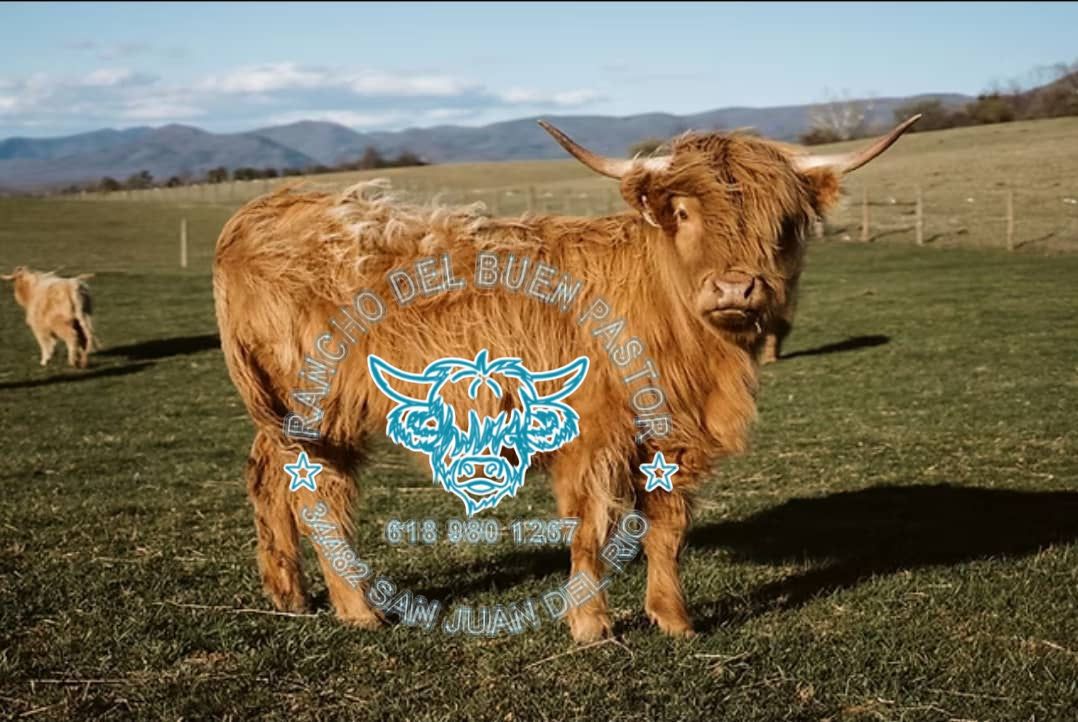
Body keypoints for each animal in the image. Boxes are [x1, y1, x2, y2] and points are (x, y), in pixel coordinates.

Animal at [212, 115, 920, 641]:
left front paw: (675, 620)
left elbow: (668, 527)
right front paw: (591, 627)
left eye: (784, 222)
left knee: (268, 478)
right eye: (682, 212)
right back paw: (358, 610)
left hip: (284, 410)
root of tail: (259, 211)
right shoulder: (591, 436)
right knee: (317, 496)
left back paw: (290, 595)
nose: (735, 289)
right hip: (317, 408)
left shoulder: (672, 438)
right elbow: (592, 528)